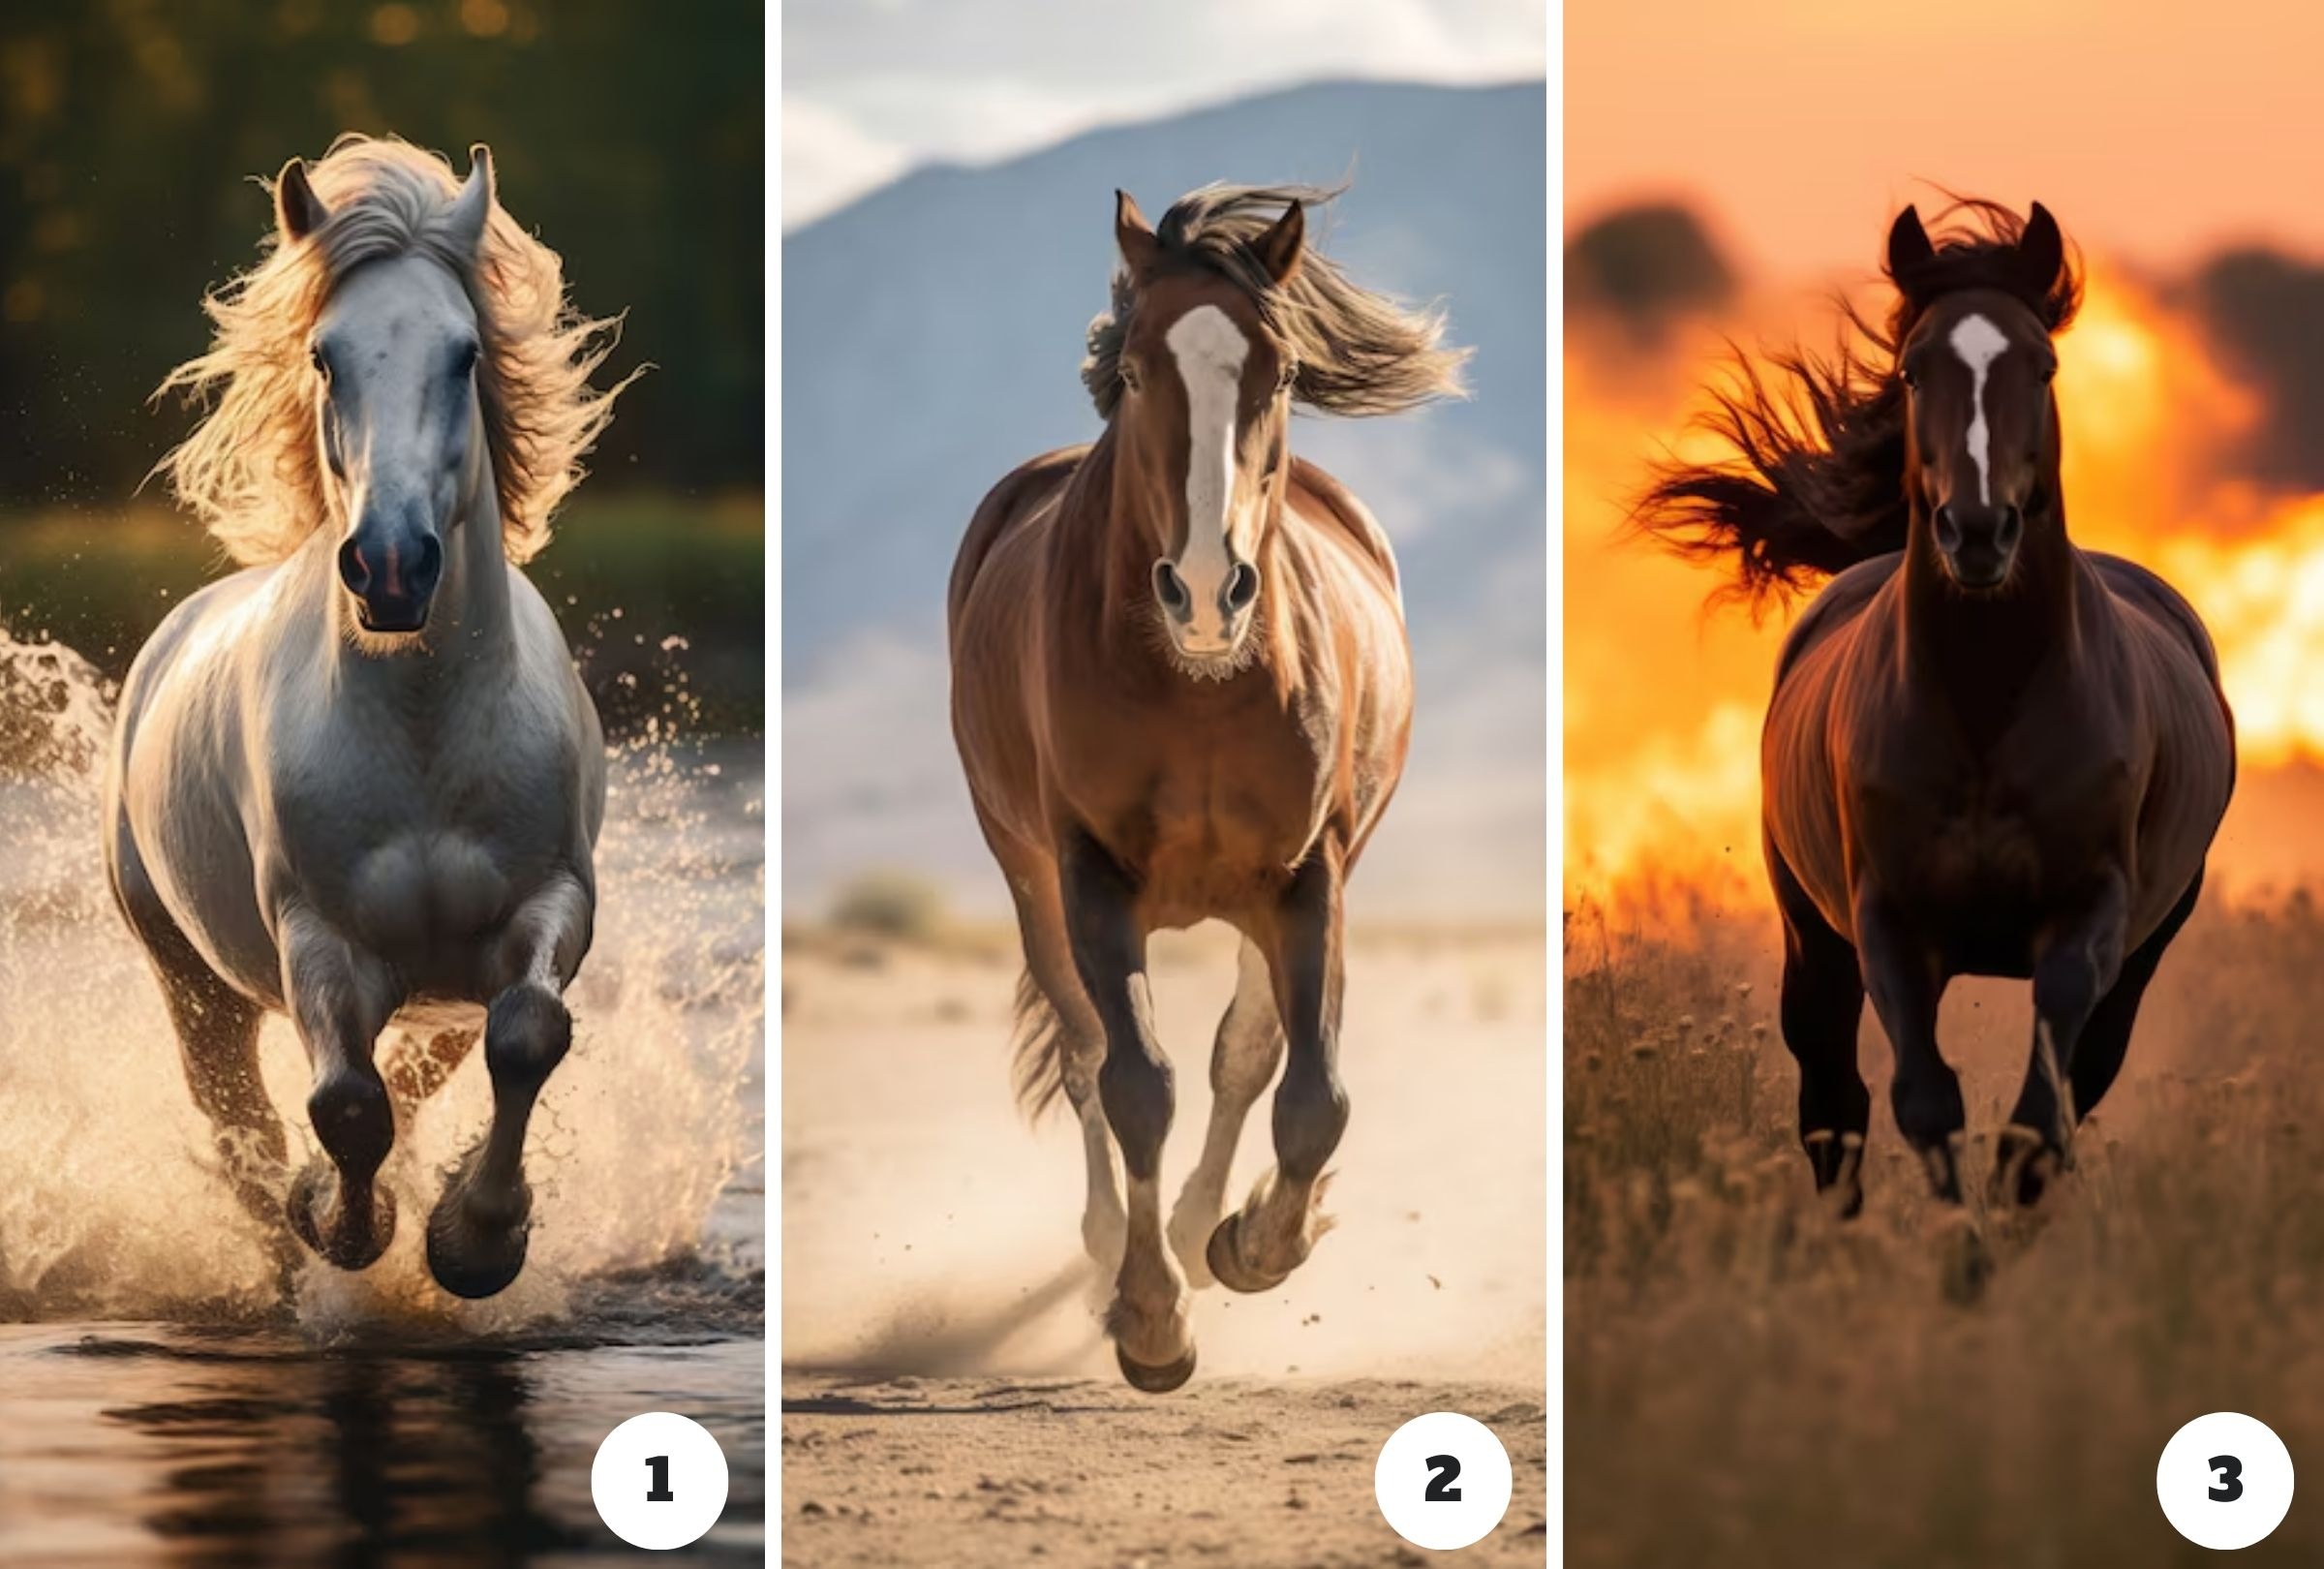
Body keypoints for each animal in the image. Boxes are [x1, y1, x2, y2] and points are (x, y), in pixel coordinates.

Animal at [105, 136, 629, 1299]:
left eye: (466, 355)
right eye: (325, 356)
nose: (392, 567)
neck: (424, 734)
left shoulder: (550, 904)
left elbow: (528, 1035)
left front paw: (475, 1238)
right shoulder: (317, 938)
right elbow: (345, 1108)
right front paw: (344, 1225)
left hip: (436, 985)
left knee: (431, 1066)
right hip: (189, 976)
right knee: (240, 1123)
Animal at [948, 184, 1465, 1390]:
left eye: (1278, 373)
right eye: (1139, 372)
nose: (1203, 591)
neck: (1196, 687)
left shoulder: (1309, 872)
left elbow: (1307, 1092)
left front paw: (1252, 1243)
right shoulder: (1089, 872)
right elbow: (1136, 1078)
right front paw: (1149, 1316)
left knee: (1245, 1053)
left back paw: (1196, 1228)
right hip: (1024, 868)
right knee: (1085, 1051)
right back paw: (1112, 1252)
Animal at [1636, 199, 2234, 1245]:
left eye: (2044, 364)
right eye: (1916, 368)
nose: (1978, 531)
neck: (1988, 708)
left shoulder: (2090, 923)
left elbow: (2037, 1117)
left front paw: (1986, 1256)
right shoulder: (1888, 920)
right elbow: (1923, 1099)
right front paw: (1956, 1255)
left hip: (2143, 954)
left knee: (2073, 1091)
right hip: (1813, 939)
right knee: (1833, 1101)